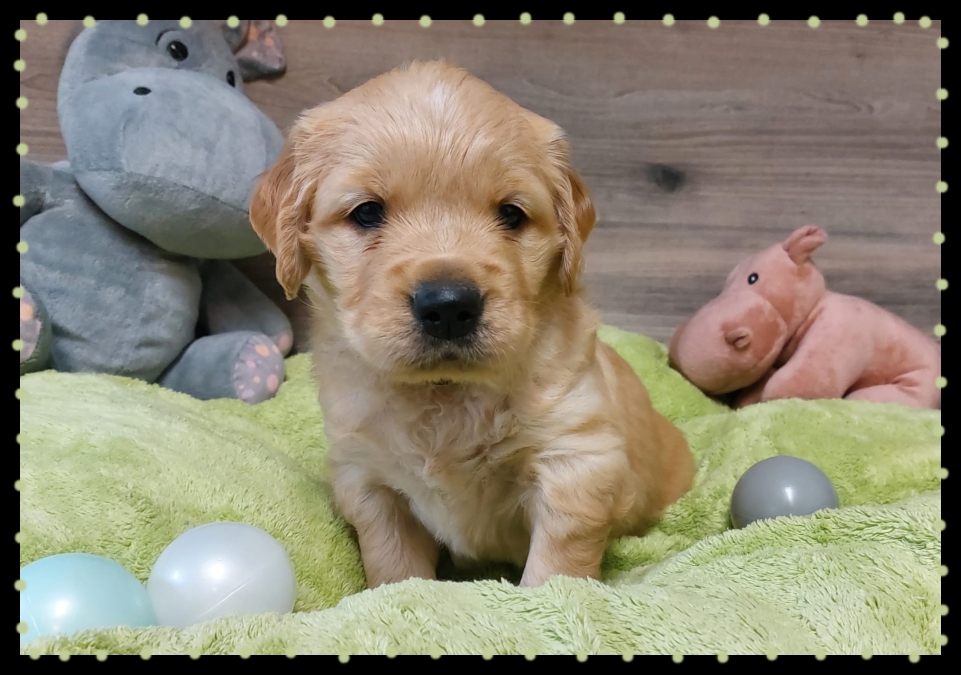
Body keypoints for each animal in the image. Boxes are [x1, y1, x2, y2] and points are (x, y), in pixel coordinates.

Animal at [250, 60, 695, 589]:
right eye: (367, 212)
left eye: (511, 214)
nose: (448, 306)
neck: (446, 395)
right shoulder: (367, 477)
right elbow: (393, 564)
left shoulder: (576, 459)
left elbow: (558, 565)